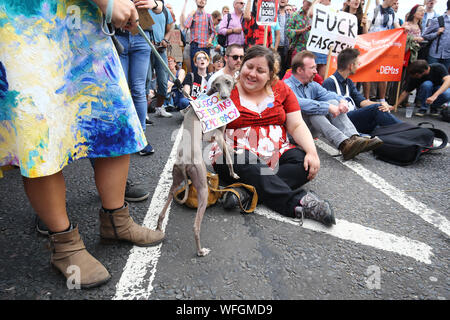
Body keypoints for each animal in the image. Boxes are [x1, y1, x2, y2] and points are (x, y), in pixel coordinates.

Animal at [156, 74, 239, 256]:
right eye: (217, 84)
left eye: (228, 82)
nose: (224, 97)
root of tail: (184, 162)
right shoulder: (217, 135)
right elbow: (228, 156)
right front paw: (233, 173)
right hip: (202, 188)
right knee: (195, 227)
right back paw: (201, 251)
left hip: (175, 181)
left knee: (162, 212)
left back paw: (158, 228)